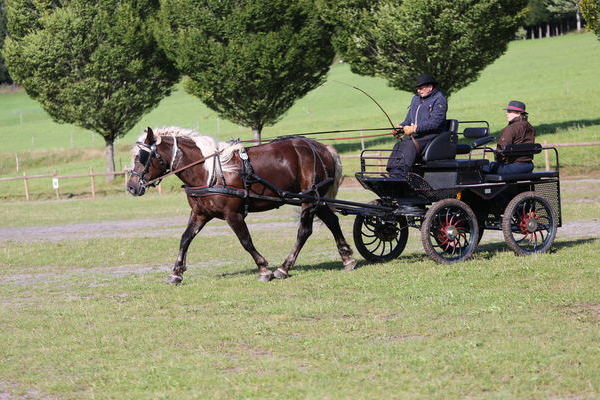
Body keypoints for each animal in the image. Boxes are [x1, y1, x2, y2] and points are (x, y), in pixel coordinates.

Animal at [124, 126, 354, 282]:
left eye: (143, 157)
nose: (132, 187)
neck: (209, 172)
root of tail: (322, 148)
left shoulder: (233, 215)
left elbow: (246, 241)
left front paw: (264, 269)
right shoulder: (200, 213)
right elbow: (185, 238)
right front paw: (176, 273)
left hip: (308, 199)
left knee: (304, 231)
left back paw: (284, 268)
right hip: (317, 199)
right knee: (332, 221)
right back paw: (347, 259)